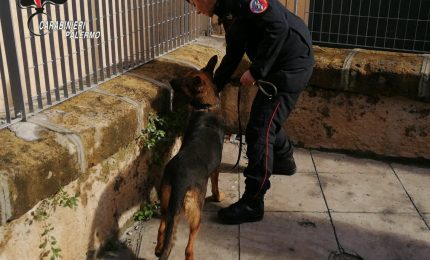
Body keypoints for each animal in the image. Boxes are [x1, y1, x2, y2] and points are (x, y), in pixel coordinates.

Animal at [156, 55, 227, 260]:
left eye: (184, 80)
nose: (171, 81)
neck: (207, 107)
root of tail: (180, 181)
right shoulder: (216, 170)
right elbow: (216, 186)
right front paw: (218, 197)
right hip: (196, 213)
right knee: (189, 247)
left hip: (166, 202)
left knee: (163, 227)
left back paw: (158, 249)